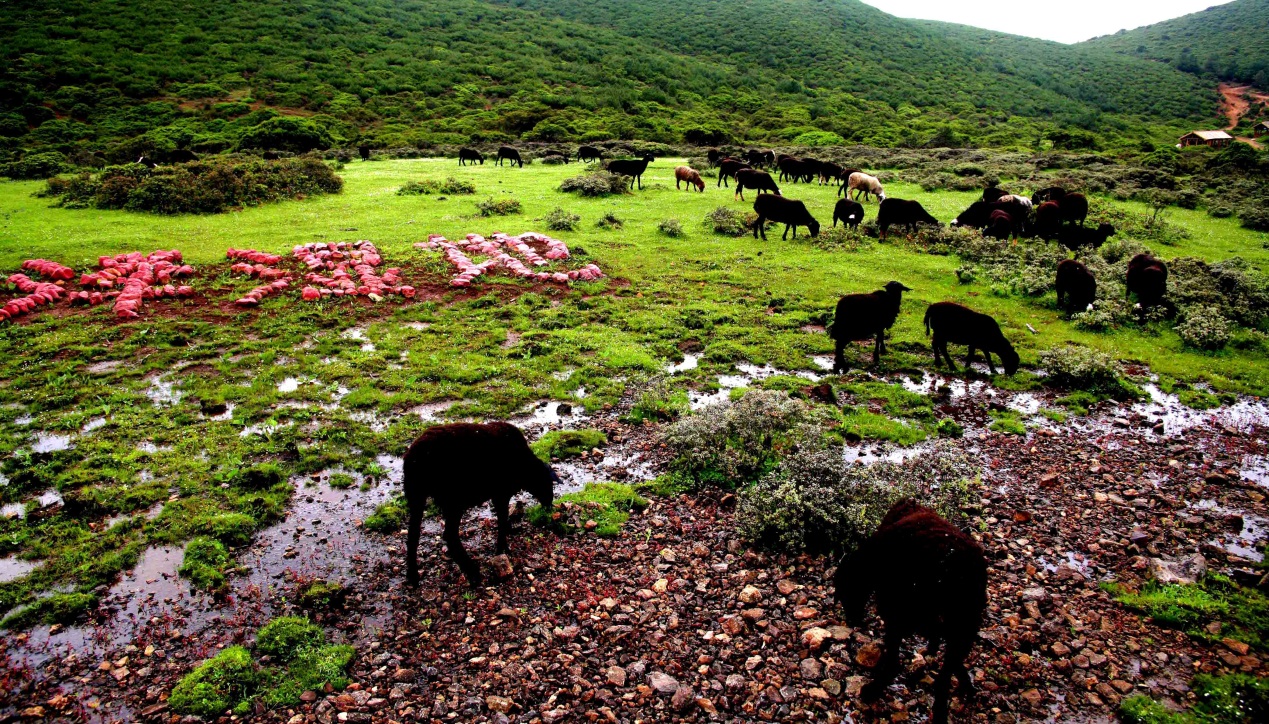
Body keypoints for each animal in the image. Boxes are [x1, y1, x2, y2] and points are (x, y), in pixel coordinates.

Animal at [406, 420, 560, 585]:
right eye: (547, 483)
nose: (549, 504)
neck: (525, 467)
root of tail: (413, 458)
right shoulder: (501, 493)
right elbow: (502, 519)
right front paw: (502, 549)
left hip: (416, 495)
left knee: (413, 534)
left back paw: (413, 575)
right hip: (453, 500)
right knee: (450, 535)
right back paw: (473, 572)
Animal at [832, 499, 989, 724]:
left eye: (846, 592)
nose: (852, 621)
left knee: (897, 663)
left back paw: (872, 690)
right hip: (965, 617)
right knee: (945, 674)